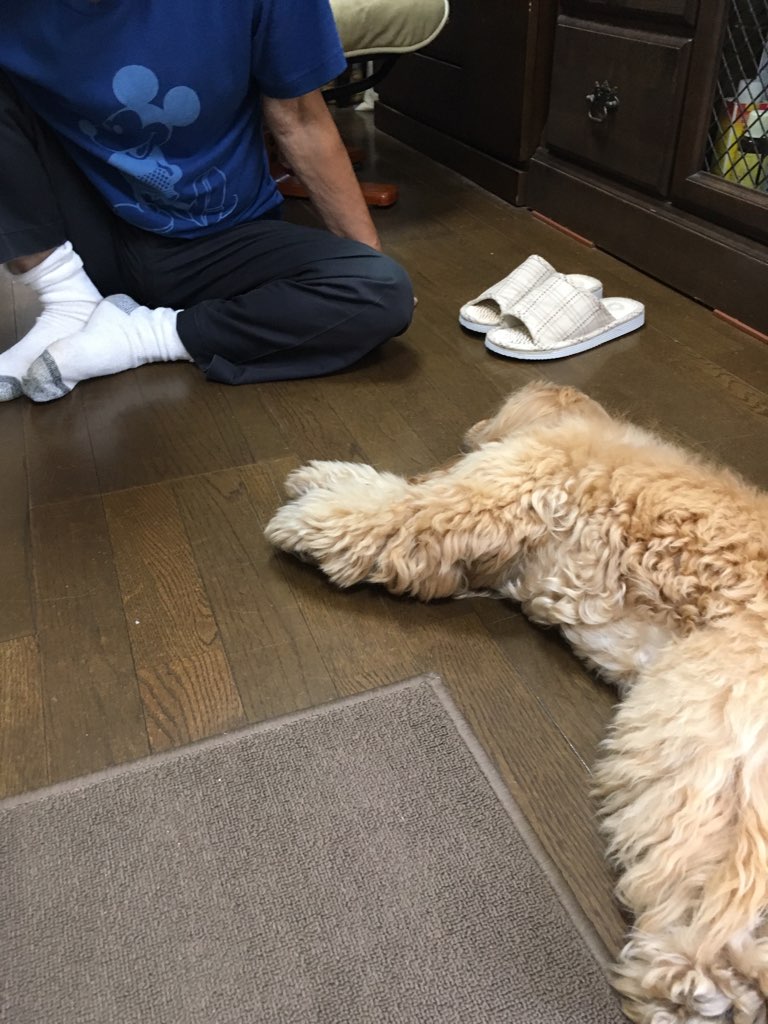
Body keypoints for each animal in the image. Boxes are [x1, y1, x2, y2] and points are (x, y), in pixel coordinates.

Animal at [264, 381, 768, 1024]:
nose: (470, 431)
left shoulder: (497, 489)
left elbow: (400, 511)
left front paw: (307, 516)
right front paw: (322, 475)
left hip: (708, 736)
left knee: (721, 905)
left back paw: (686, 980)